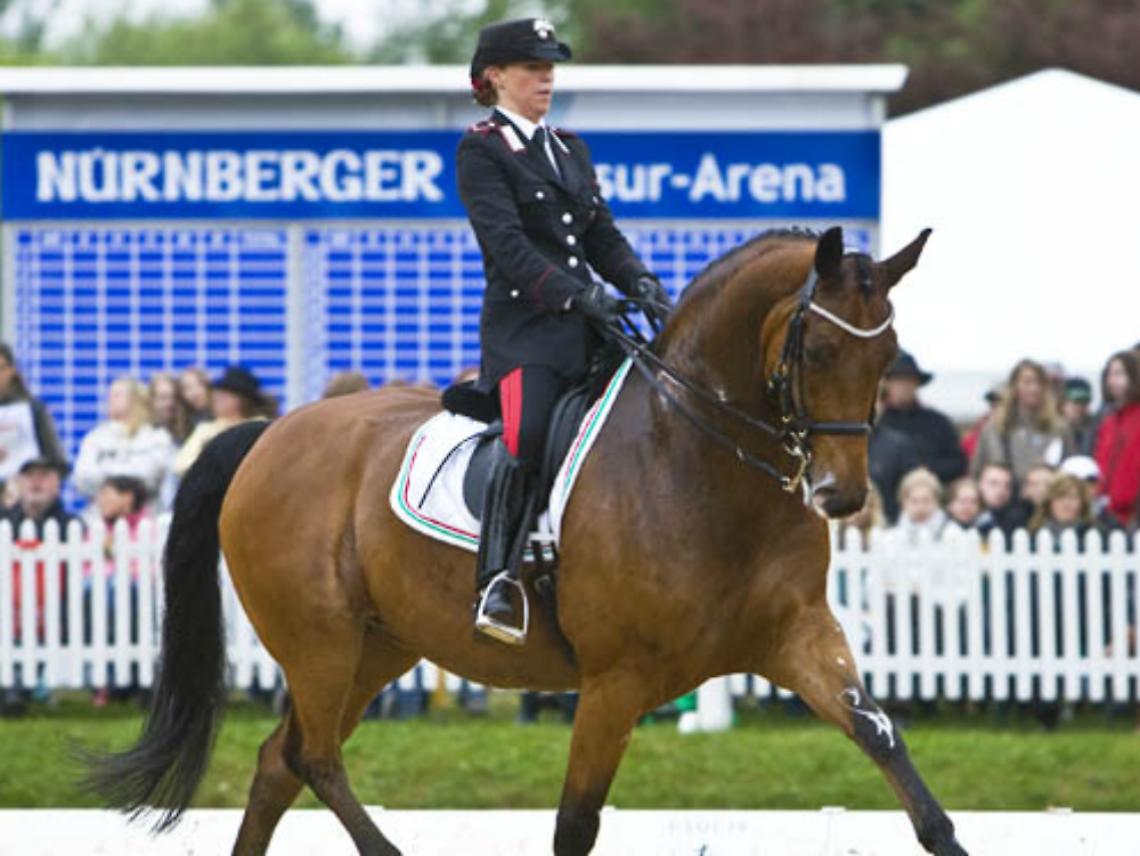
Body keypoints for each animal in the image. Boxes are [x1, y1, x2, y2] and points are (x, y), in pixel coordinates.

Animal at [87, 226, 968, 856]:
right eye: (817, 349)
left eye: (888, 357)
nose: (842, 495)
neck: (703, 461)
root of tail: (268, 432)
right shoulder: (616, 680)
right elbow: (575, 824)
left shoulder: (798, 637)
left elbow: (886, 743)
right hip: (319, 640)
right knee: (314, 758)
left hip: (379, 644)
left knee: (281, 761)